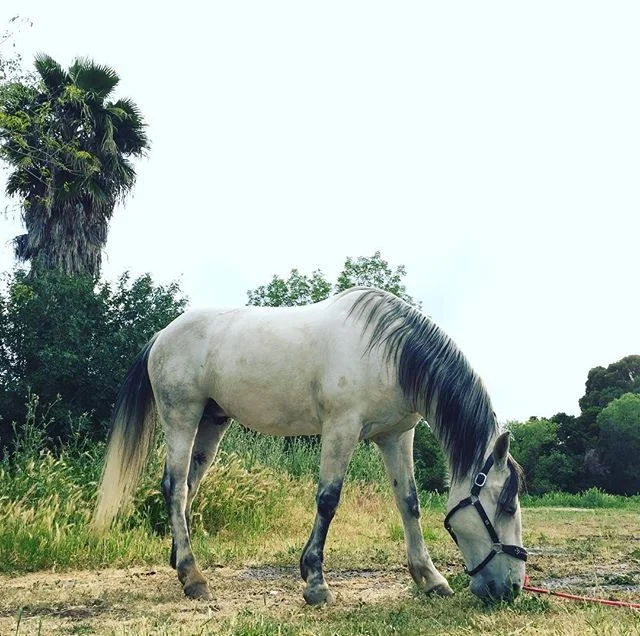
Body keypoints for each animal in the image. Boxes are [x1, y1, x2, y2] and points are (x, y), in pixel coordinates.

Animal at [93, 287, 527, 604]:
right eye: (506, 506)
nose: (511, 589)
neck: (388, 351)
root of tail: (161, 335)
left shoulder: (396, 436)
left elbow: (409, 503)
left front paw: (429, 578)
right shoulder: (341, 429)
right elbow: (328, 500)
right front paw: (316, 583)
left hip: (211, 423)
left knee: (188, 487)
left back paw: (180, 564)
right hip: (181, 418)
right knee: (174, 487)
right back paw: (193, 577)